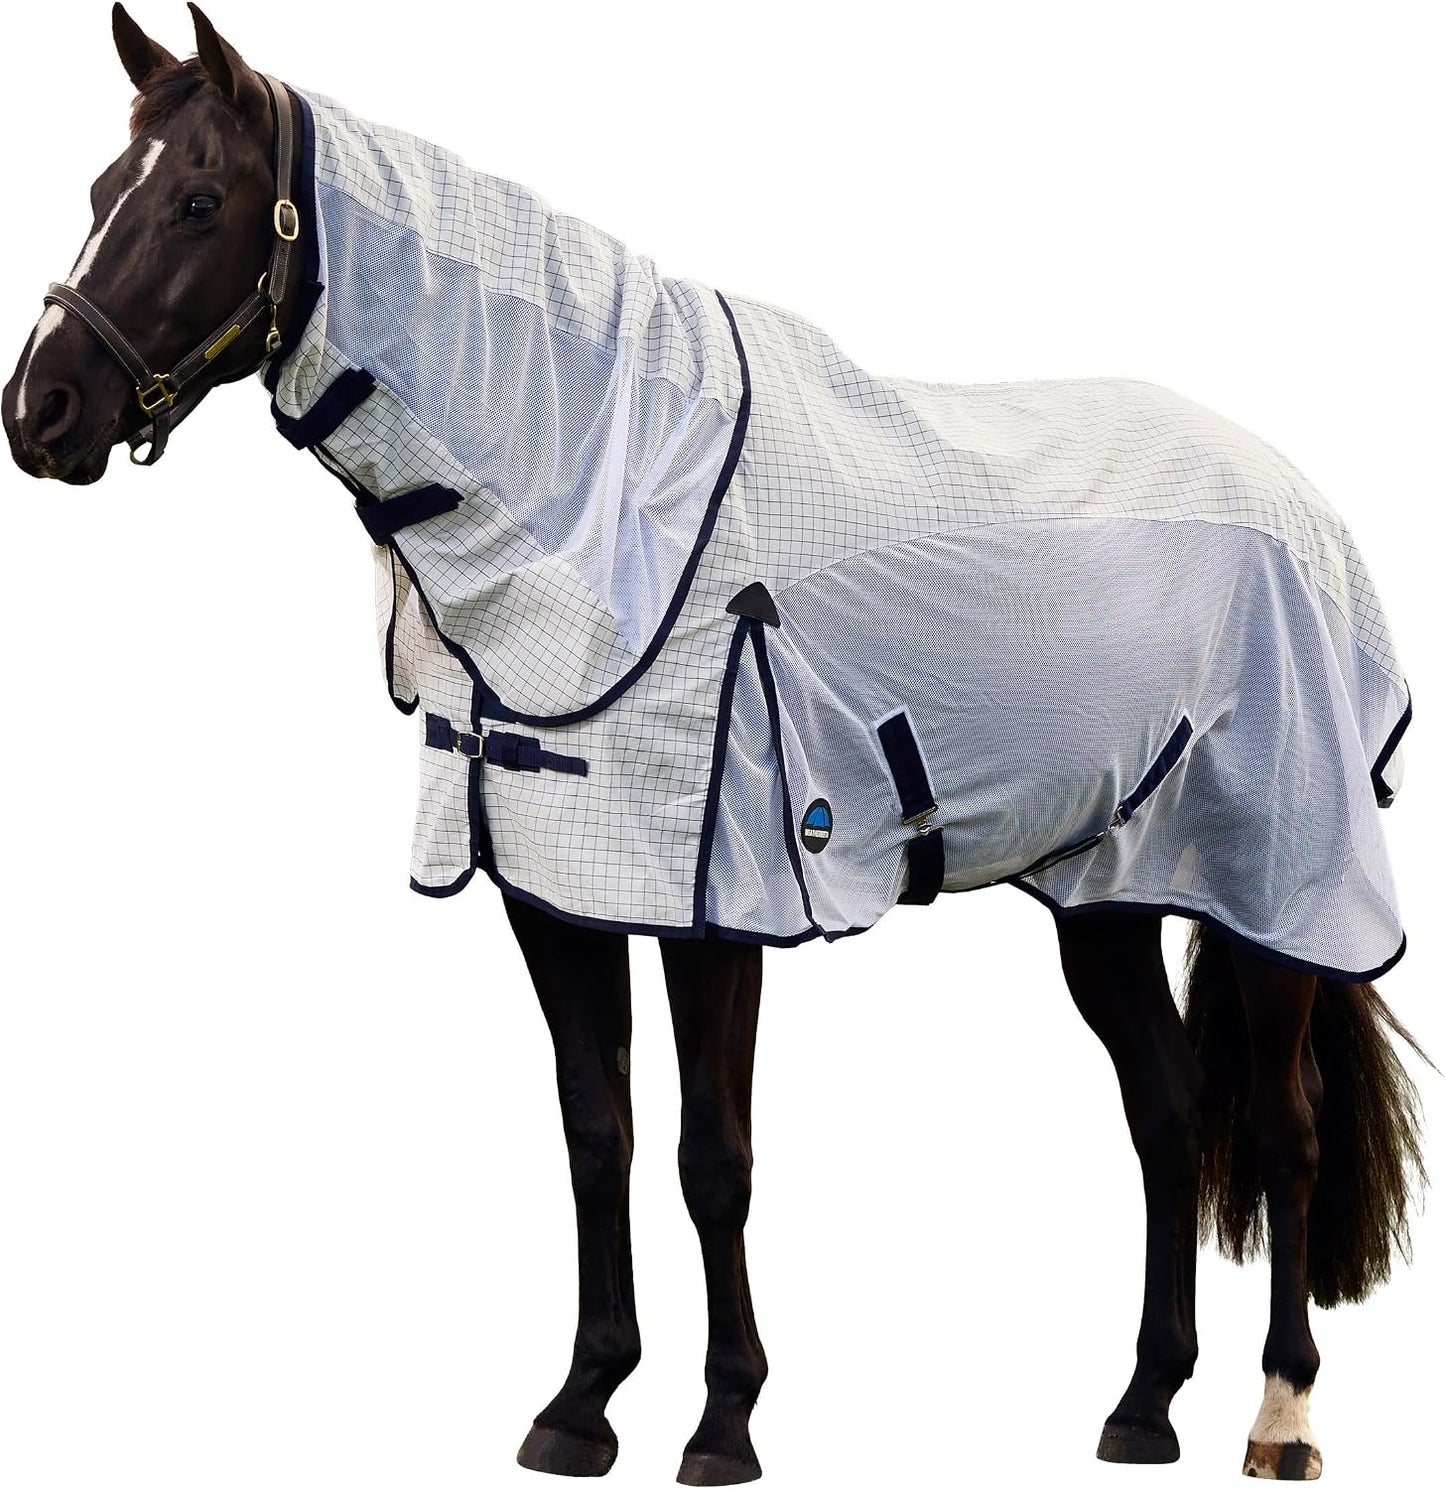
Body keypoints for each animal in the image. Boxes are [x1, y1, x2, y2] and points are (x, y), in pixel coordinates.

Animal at [1, 7, 1427, 1483]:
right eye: (101, 195)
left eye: (199, 201)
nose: (39, 413)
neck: (603, 483)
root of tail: (1297, 497)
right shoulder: (557, 880)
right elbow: (597, 1132)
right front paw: (579, 1403)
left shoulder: (716, 894)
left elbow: (712, 1157)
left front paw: (724, 1419)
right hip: (1110, 888)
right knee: (1166, 1112)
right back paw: (1141, 1406)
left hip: (1272, 885)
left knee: (1281, 1131)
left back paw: (1279, 1415)